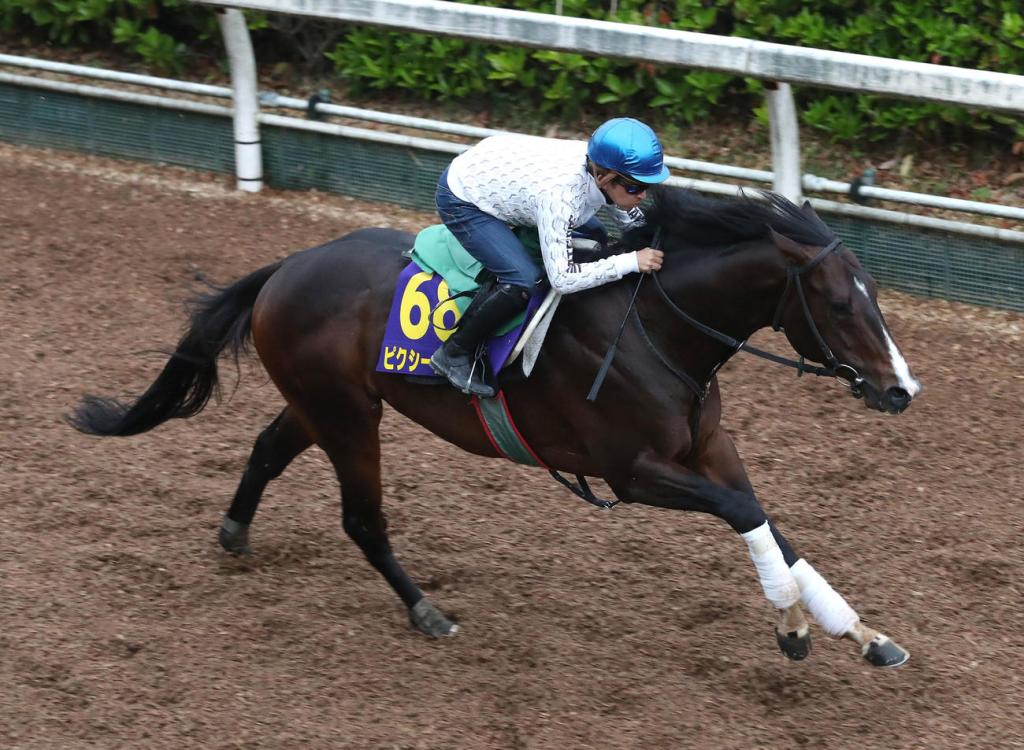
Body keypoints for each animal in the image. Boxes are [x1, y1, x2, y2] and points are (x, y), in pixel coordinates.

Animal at [69, 188, 921, 668]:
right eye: (838, 304)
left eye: (876, 296)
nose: (901, 390)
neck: (654, 327)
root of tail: (285, 267)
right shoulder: (631, 471)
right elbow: (748, 515)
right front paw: (794, 628)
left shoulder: (709, 449)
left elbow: (768, 521)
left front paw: (861, 633)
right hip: (348, 415)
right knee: (362, 519)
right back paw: (426, 612)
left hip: (323, 403)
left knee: (269, 449)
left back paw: (235, 532)